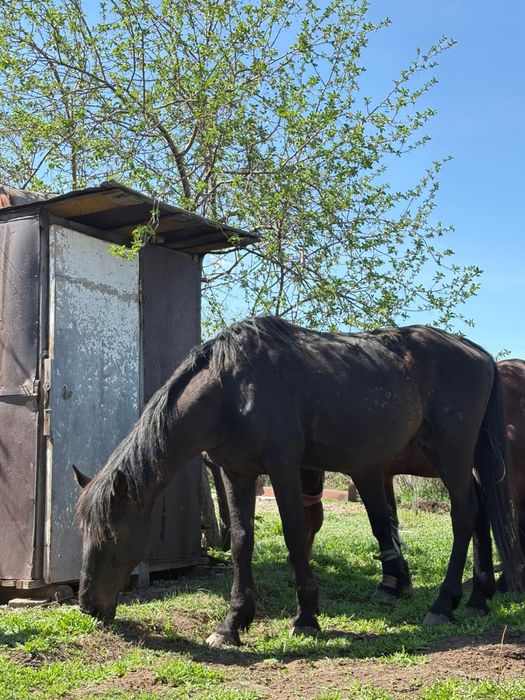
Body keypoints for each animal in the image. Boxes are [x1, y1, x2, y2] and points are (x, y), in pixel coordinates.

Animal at [73, 316, 522, 646]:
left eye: (111, 536)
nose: (88, 606)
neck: (231, 389)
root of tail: (479, 354)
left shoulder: (285, 467)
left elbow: (294, 533)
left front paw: (306, 617)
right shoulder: (236, 472)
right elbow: (241, 541)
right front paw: (232, 623)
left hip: (453, 456)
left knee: (464, 516)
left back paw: (444, 604)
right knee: (479, 512)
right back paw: (478, 599)